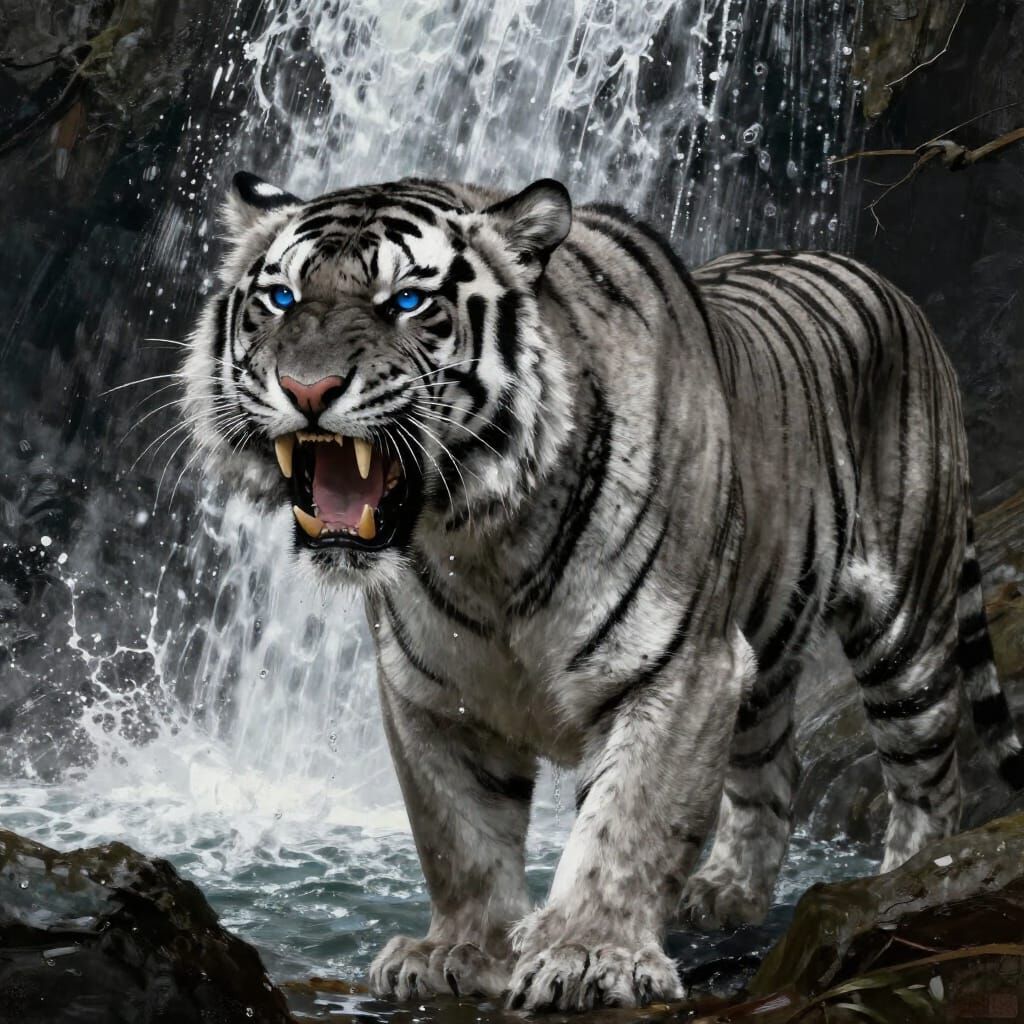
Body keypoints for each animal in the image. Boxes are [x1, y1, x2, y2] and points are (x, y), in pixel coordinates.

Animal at [183, 171, 1024, 1011]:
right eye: (283, 298)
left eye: (409, 302)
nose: (308, 388)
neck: (482, 542)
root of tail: (885, 284)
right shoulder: (431, 694)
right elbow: (458, 836)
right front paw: (459, 951)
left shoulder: (680, 669)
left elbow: (628, 822)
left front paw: (590, 955)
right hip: (765, 648)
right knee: (773, 772)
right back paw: (725, 893)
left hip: (903, 637)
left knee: (932, 782)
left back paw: (892, 891)